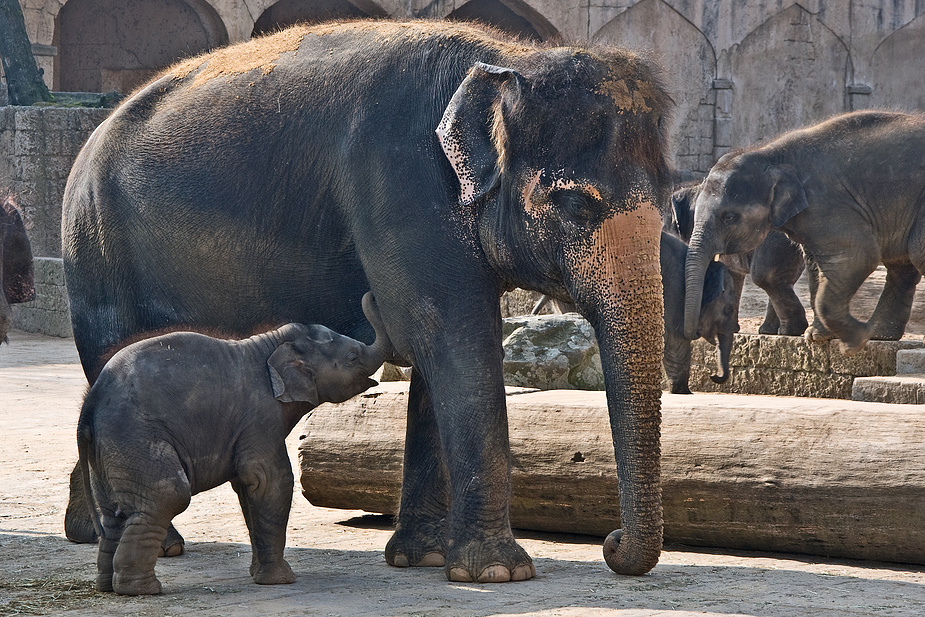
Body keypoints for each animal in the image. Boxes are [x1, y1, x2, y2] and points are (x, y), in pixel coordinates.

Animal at [63, 19, 672, 576]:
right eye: (574, 204)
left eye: (668, 201)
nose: (612, 544)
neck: (509, 58)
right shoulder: (403, 183)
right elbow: (452, 340)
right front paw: (498, 572)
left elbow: (439, 358)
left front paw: (422, 558)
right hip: (96, 252)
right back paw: (156, 544)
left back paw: (87, 530)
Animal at [668, 183, 804, 336]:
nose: (697, 332)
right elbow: (732, 274)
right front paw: (730, 329)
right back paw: (769, 331)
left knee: (765, 275)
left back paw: (786, 331)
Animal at [684, 110, 924, 352]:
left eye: (729, 217)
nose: (695, 334)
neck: (771, 155)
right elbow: (817, 265)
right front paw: (818, 337)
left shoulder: (828, 203)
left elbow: (858, 257)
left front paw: (855, 340)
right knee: (900, 266)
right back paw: (881, 335)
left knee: (915, 253)